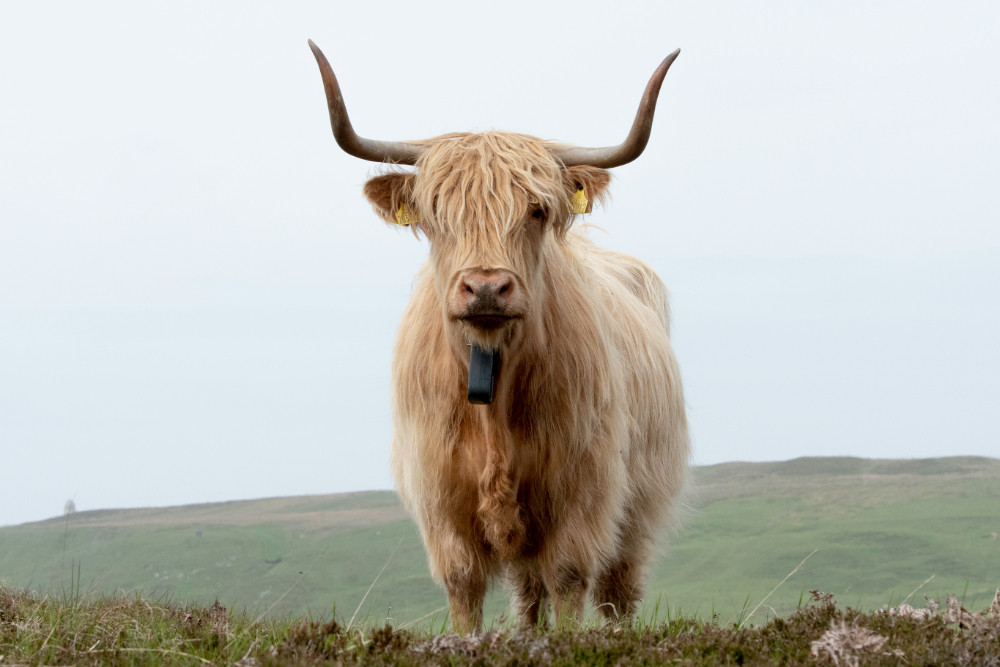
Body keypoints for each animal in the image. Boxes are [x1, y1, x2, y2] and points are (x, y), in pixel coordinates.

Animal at [309, 41, 690, 634]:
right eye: (436, 214)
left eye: (536, 210)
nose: (487, 287)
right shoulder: (442, 504)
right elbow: (465, 589)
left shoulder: (582, 493)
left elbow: (569, 579)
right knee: (528, 594)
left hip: (639, 504)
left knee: (617, 591)